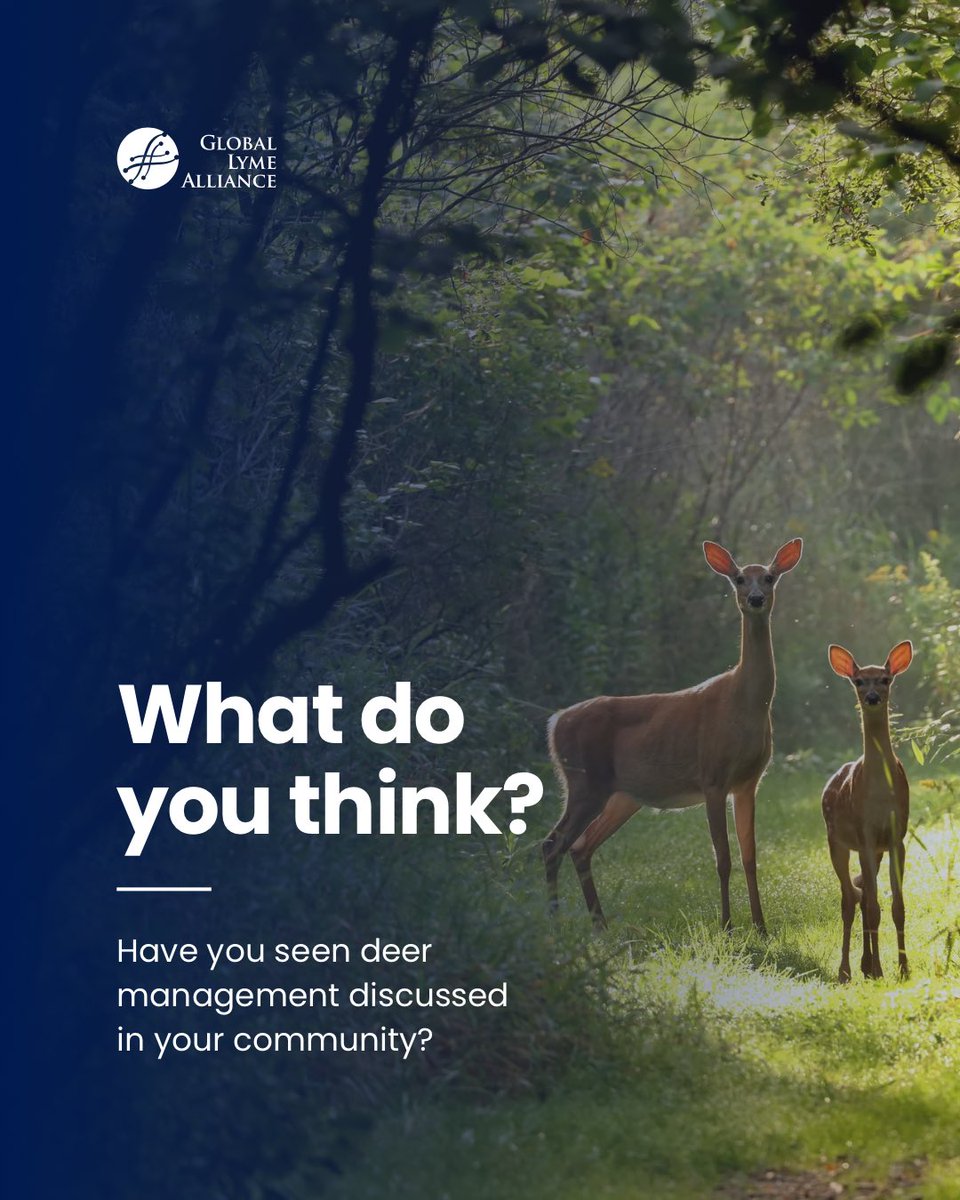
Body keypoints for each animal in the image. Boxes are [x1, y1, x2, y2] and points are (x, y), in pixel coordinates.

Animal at [543, 537, 803, 931]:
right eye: (740, 579)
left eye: (770, 577)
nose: (756, 598)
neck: (744, 704)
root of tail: (555, 722)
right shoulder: (713, 776)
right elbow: (722, 859)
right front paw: (727, 926)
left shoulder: (748, 782)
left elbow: (750, 856)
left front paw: (761, 927)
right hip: (585, 781)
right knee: (552, 844)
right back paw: (556, 926)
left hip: (622, 795)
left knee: (580, 846)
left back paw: (600, 926)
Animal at [822, 640, 913, 983]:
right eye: (859, 681)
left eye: (885, 679)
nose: (872, 697)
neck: (879, 794)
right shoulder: (864, 833)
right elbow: (874, 906)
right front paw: (882, 968)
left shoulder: (896, 837)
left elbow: (897, 907)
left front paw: (903, 968)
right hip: (836, 841)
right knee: (850, 898)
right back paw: (847, 970)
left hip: (875, 850)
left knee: (862, 896)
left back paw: (866, 965)